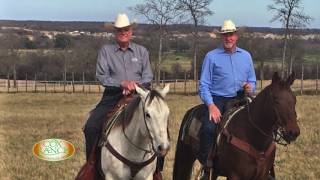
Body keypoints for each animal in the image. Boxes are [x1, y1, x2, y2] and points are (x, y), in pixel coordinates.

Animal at [172, 72, 300, 180]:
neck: (253, 137)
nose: (293, 132)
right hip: (185, 159)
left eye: (294, 99)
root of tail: (191, 111)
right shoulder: (235, 176)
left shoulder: (261, 175)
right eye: (276, 99)